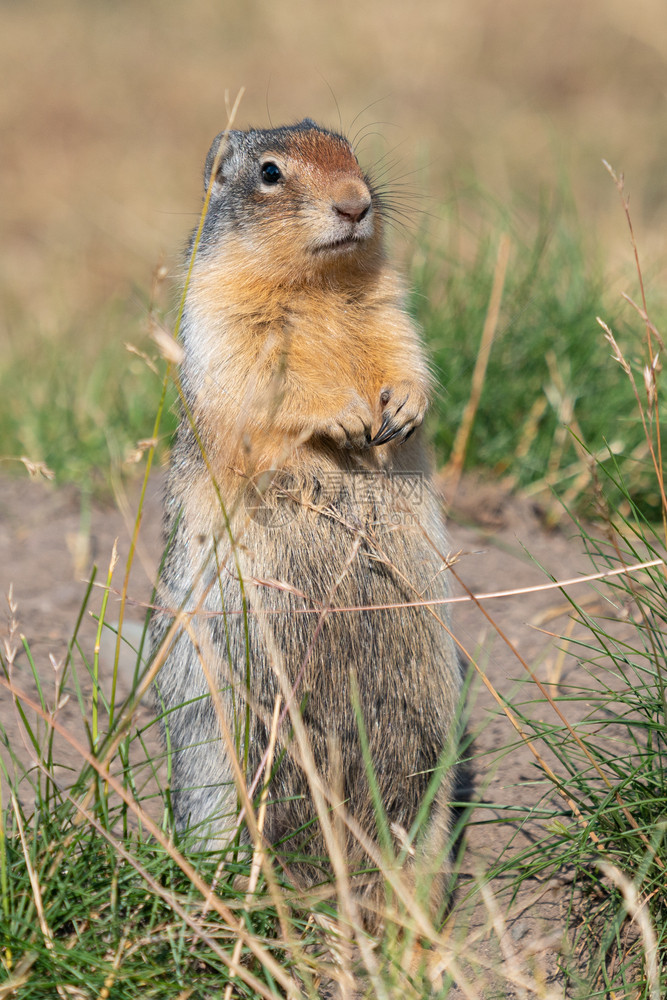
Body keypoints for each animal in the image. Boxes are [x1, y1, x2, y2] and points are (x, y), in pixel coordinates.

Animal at [151, 119, 464, 928]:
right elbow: (261, 384)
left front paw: (400, 408)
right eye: (269, 172)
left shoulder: (391, 311)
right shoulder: (219, 320)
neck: (319, 287)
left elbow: (406, 354)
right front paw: (347, 418)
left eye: (350, 150)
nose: (356, 203)